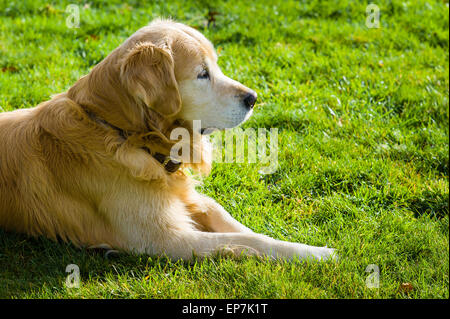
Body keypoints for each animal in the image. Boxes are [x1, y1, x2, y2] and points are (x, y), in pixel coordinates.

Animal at [0, 18, 336, 262]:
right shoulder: (164, 240)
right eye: (202, 74)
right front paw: (320, 254)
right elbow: (245, 239)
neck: (123, 134)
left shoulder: (188, 199)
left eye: (216, 66)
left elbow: (230, 220)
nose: (253, 98)